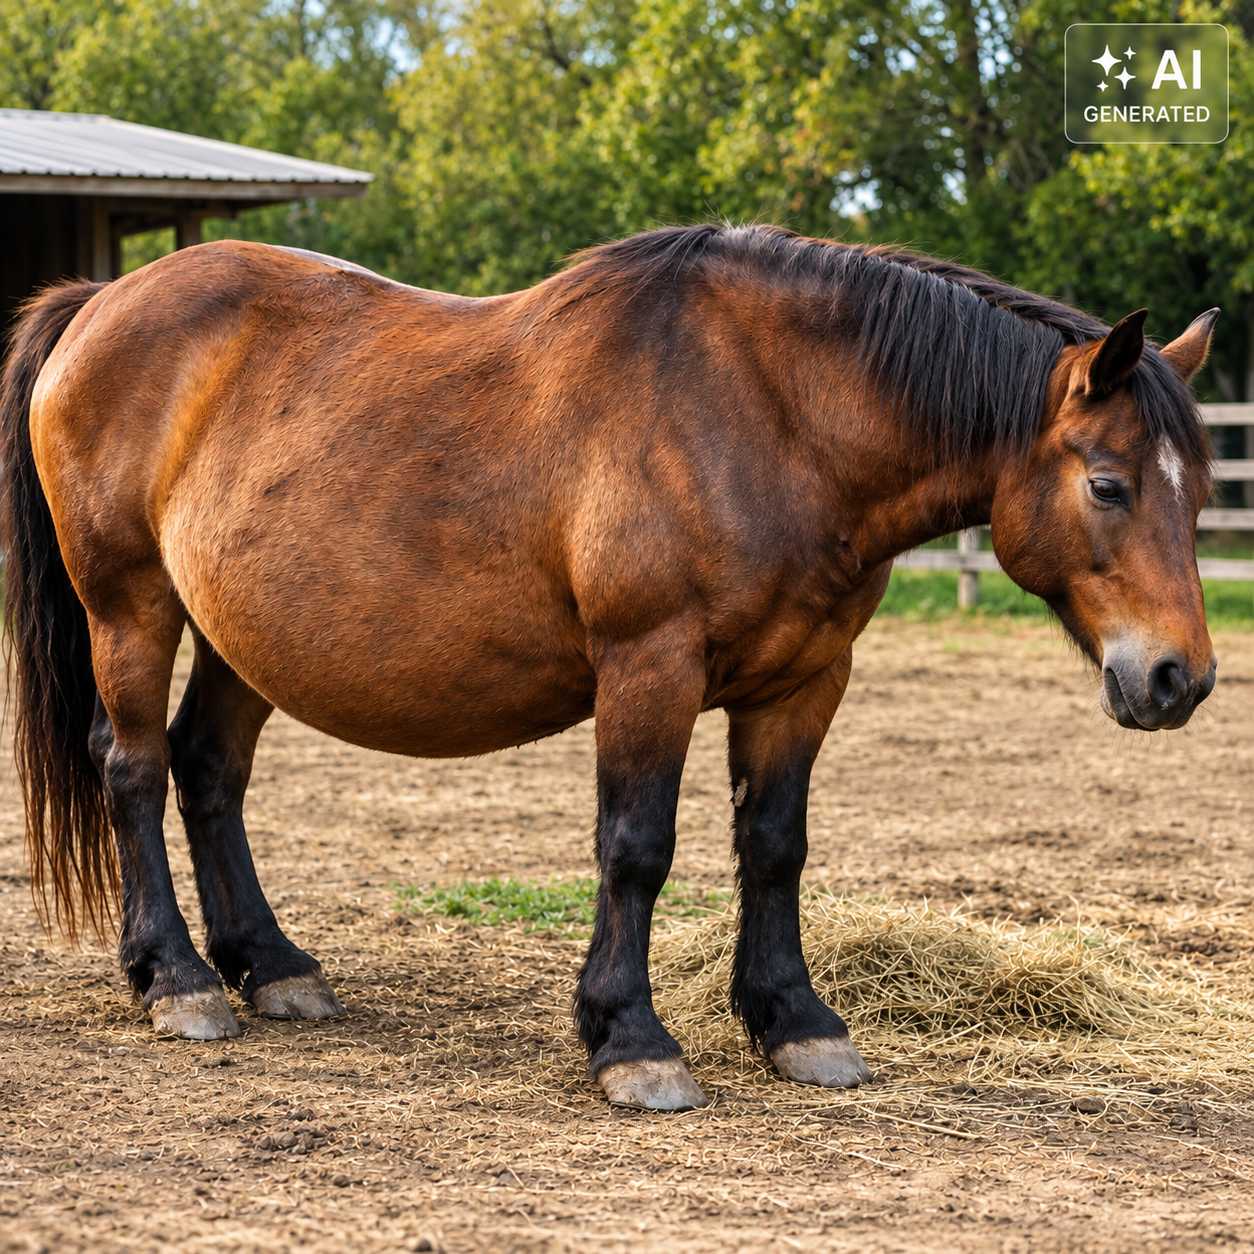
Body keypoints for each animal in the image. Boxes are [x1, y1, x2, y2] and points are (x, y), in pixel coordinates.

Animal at [0, 224, 1218, 1111]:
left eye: (1200, 490)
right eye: (1109, 485)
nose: (1180, 680)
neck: (770, 415)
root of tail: (99, 302)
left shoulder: (804, 682)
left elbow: (775, 848)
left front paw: (796, 1023)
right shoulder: (651, 668)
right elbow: (637, 848)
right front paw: (631, 1040)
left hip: (242, 637)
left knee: (209, 773)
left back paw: (273, 966)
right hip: (131, 607)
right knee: (134, 769)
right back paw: (177, 980)